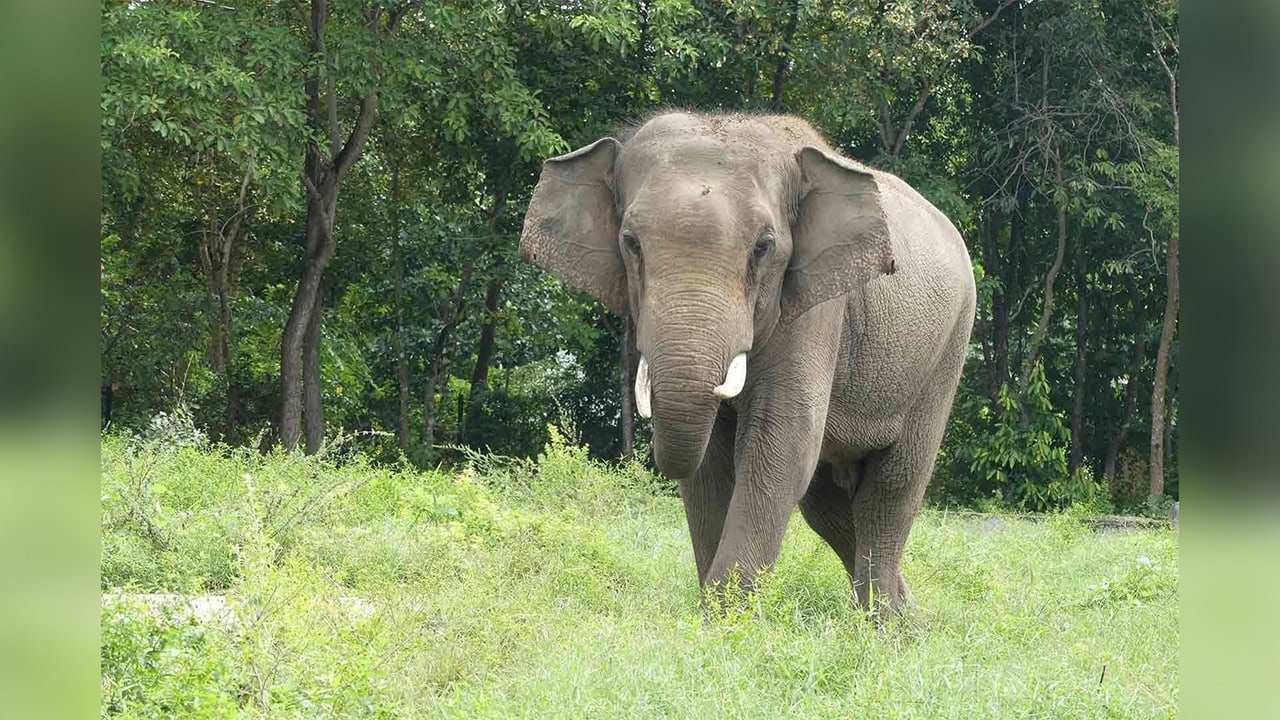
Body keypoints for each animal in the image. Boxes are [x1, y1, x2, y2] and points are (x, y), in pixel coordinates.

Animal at [519, 112, 975, 611]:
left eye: (764, 246)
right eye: (631, 243)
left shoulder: (817, 306)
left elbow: (781, 442)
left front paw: (723, 620)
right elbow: (711, 468)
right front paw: (713, 616)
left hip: (948, 347)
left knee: (891, 490)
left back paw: (886, 621)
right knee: (828, 507)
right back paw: (908, 619)